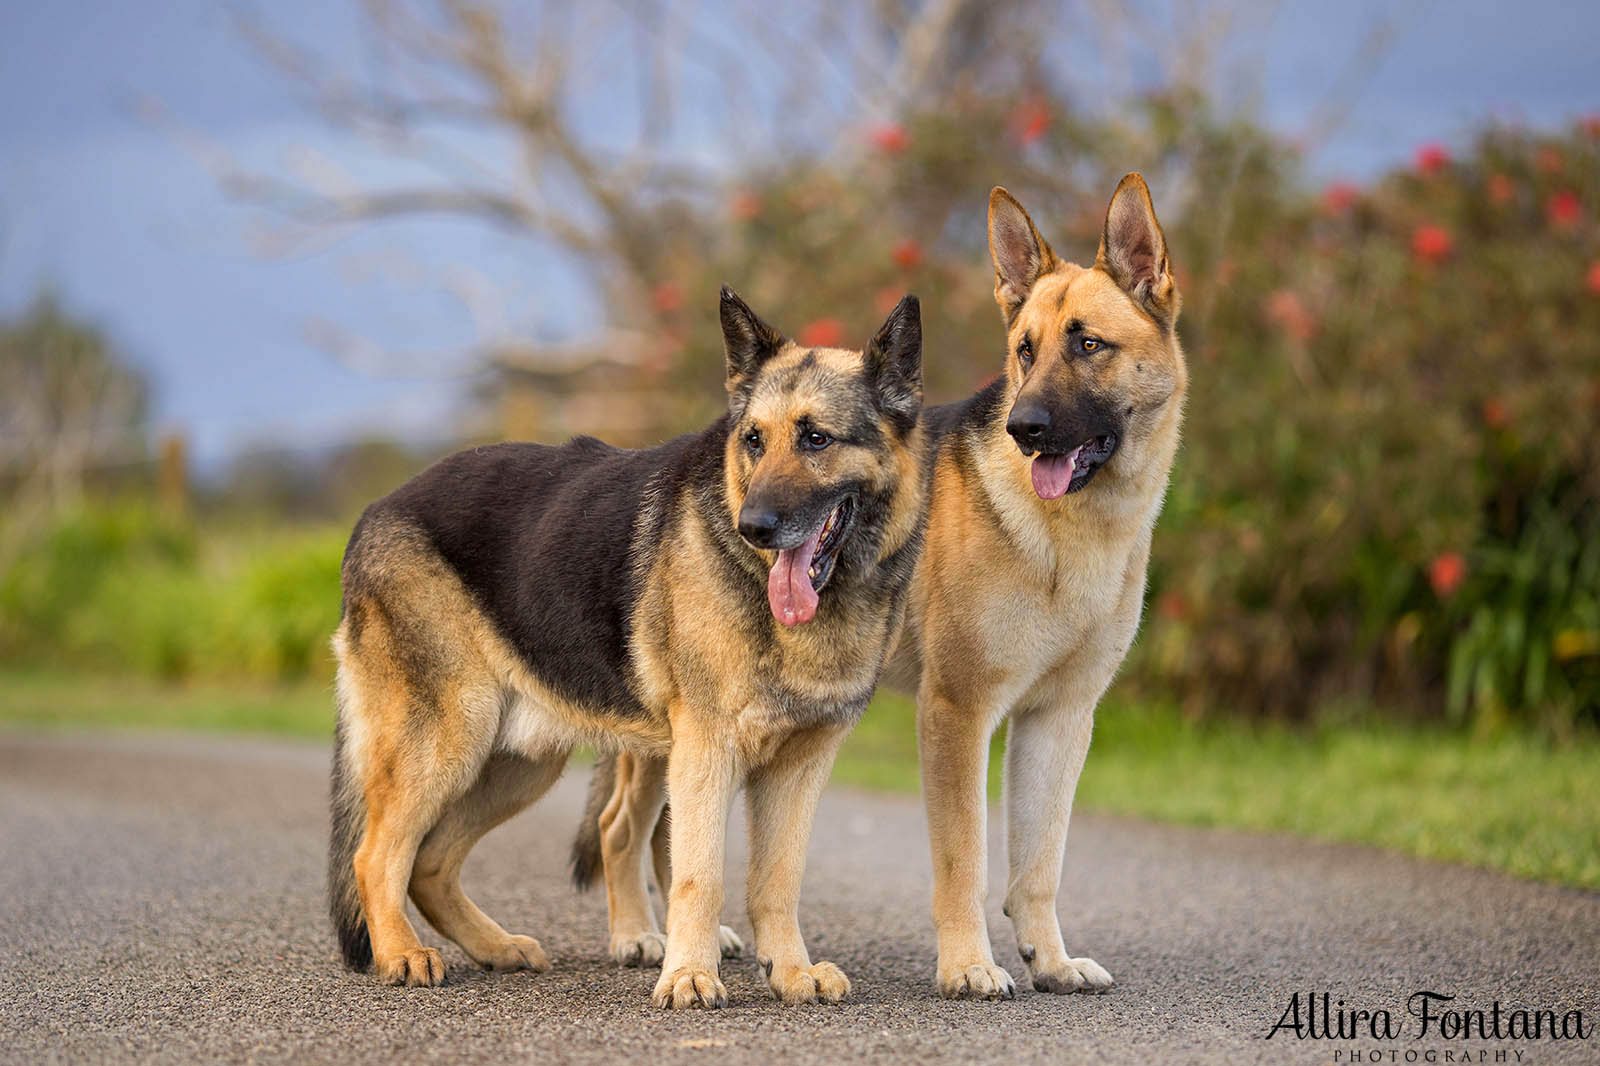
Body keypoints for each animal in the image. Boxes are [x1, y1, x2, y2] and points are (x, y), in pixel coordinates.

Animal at [326, 284, 934, 1005]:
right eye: (754, 441)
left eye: (816, 438)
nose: (753, 526)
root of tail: (374, 511)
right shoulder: (707, 749)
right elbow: (701, 874)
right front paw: (691, 976)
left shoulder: (800, 766)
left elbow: (776, 881)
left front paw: (790, 972)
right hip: (450, 738)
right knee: (376, 854)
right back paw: (400, 953)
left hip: (521, 763)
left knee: (431, 862)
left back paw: (496, 946)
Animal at [579, 172, 1190, 998]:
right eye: (1024, 352)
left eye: (1088, 344)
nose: (1024, 428)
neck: (1070, 535)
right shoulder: (958, 714)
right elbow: (966, 860)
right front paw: (969, 965)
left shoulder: (1059, 721)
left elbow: (1040, 863)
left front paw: (1051, 961)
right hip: (668, 733)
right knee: (620, 828)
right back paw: (640, 938)